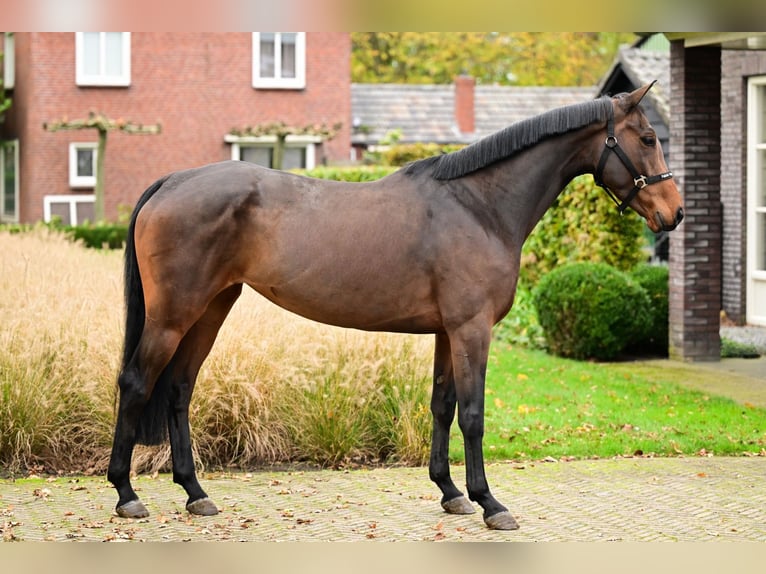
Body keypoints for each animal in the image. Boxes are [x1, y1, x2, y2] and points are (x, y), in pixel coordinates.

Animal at [106, 81, 684, 532]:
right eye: (649, 138)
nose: (674, 213)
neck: (479, 206)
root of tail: (173, 180)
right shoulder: (472, 329)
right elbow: (473, 415)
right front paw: (489, 502)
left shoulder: (448, 332)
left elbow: (442, 406)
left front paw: (451, 493)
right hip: (173, 316)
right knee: (136, 383)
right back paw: (126, 495)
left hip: (210, 308)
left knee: (179, 389)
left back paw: (196, 494)